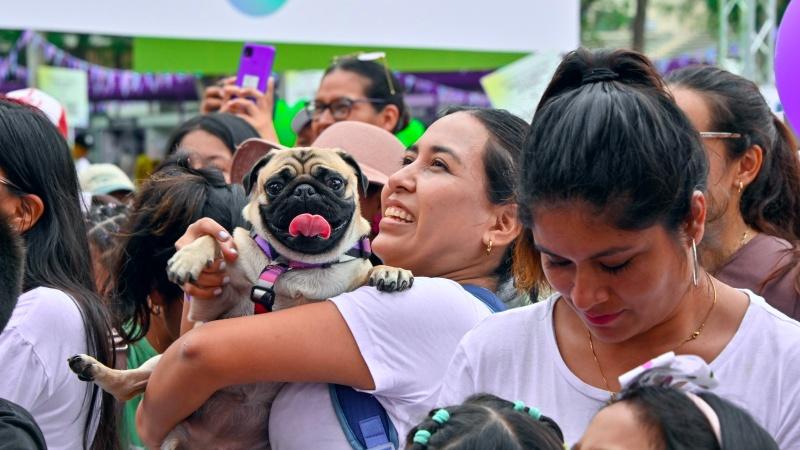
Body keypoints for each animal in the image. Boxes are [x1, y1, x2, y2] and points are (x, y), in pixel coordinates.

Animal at [68, 146, 412, 448]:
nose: (304, 191)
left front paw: (390, 271)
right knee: (128, 386)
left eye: (334, 182)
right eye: (275, 186)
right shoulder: (211, 309)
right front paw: (189, 257)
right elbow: (217, 238)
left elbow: (367, 270)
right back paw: (92, 368)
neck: (296, 265)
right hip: (160, 362)